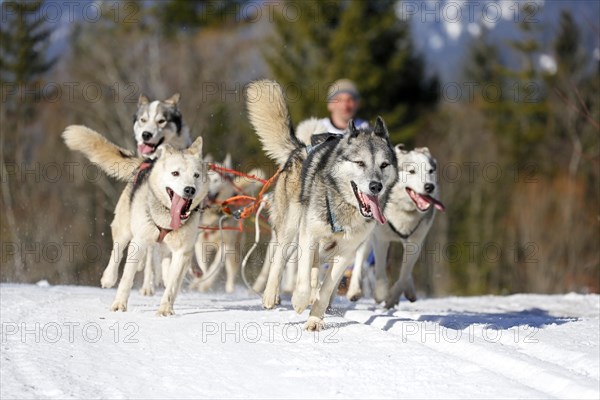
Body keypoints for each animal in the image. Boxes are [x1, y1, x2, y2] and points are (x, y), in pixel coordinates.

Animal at [63, 126, 209, 314]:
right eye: (175, 173)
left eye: (196, 175)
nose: (190, 189)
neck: (166, 217)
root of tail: (145, 162)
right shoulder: (138, 242)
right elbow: (126, 278)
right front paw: (119, 304)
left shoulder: (182, 251)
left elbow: (172, 285)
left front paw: (165, 309)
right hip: (125, 229)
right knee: (117, 251)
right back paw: (109, 278)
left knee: (164, 262)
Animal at [246, 79, 400, 332]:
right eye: (360, 163)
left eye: (384, 164)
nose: (376, 186)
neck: (342, 206)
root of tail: (301, 148)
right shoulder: (308, 233)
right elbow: (302, 275)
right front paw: (300, 300)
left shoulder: (347, 251)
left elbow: (327, 288)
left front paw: (315, 319)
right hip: (291, 227)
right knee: (280, 258)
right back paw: (271, 295)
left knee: (316, 270)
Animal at [346, 145, 446, 308]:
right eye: (412, 171)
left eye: (430, 171)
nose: (429, 187)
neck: (403, 211)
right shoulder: (380, 239)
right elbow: (380, 271)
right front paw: (381, 295)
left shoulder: (415, 242)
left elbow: (404, 274)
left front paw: (392, 298)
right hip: (366, 238)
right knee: (359, 261)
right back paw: (354, 291)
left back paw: (409, 291)